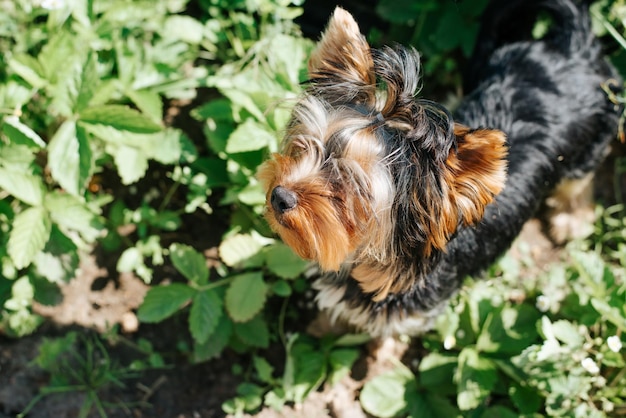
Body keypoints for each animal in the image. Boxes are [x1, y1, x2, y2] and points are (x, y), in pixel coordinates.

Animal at [258, 0, 620, 336]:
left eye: (349, 185)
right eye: (304, 148)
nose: (279, 196)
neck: (363, 258)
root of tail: (572, 48)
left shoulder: (411, 315)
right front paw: (320, 329)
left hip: (591, 144)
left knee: (579, 179)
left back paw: (572, 220)